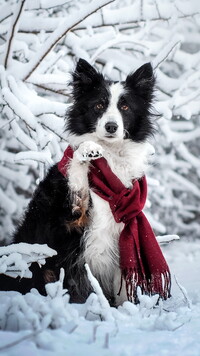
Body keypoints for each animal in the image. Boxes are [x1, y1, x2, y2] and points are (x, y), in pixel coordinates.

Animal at [0, 58, 156, 306]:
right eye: (99, 106)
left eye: (125, 108)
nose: (111, 127)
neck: (110, 160)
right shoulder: (67, 222)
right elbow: (76, 174)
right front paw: (86, 150)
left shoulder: (123, 236)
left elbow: (124, 289)